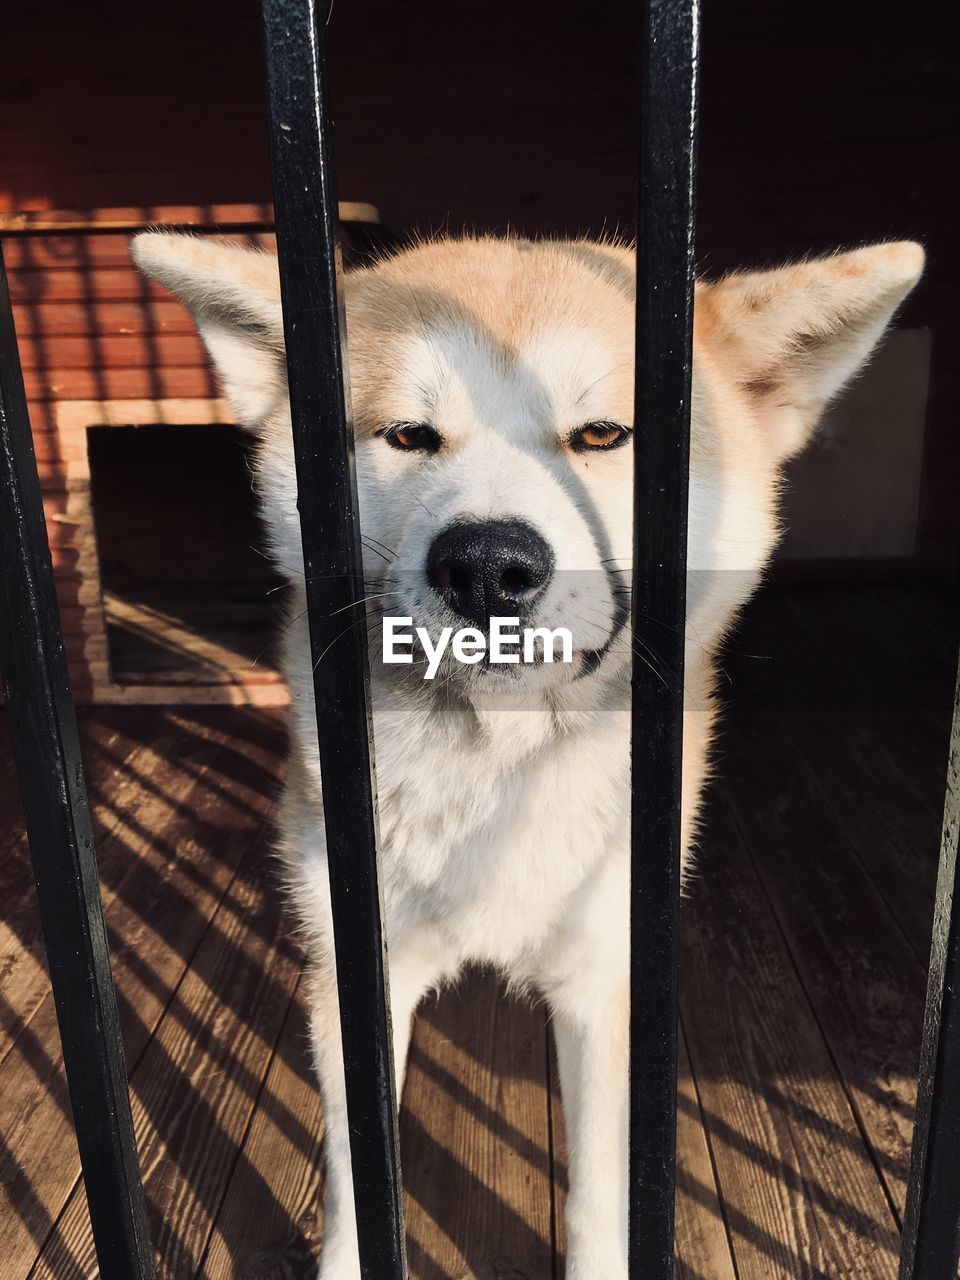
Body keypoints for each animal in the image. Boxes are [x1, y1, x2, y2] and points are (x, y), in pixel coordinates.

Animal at [133, 232, 926, 1280]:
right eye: (408, 435)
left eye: (602, 435)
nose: (486, 566)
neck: (495, 782)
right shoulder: (358, 977)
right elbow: (357, 1184)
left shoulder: (601, 978)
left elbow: (594, 1196)